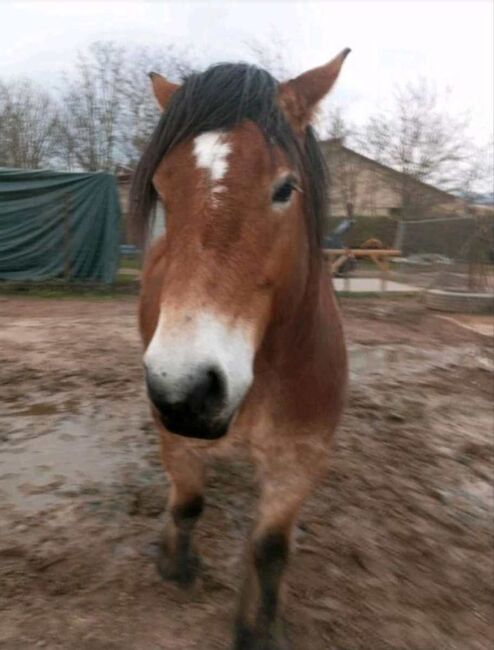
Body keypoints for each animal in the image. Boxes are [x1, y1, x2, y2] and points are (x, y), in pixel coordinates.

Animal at [129, 50, 350, 648]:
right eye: (164, 189)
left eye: (285, 188)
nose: (186, 391)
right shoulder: (174, 434)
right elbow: (187, 502)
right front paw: (176, 564)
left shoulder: (301, 459)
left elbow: (270, 549)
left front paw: (258, 628)